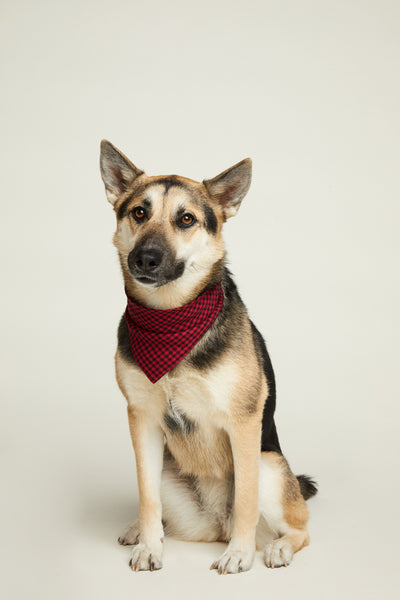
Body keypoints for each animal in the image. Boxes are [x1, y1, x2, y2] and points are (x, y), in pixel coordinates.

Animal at [99, 138, 316, 576]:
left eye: (186, 219)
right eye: (139, 212)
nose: (146, 258)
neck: (169, 321)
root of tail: (216, 524)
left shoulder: (244, 423)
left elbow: (246, 498)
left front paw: (240, 554)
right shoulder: (141, 419)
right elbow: (147, 498)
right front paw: (149, 547)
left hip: (269, 464)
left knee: (299, 527)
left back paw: (274, 547)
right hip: (168, 471)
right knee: (160, 507)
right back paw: (138, 530)